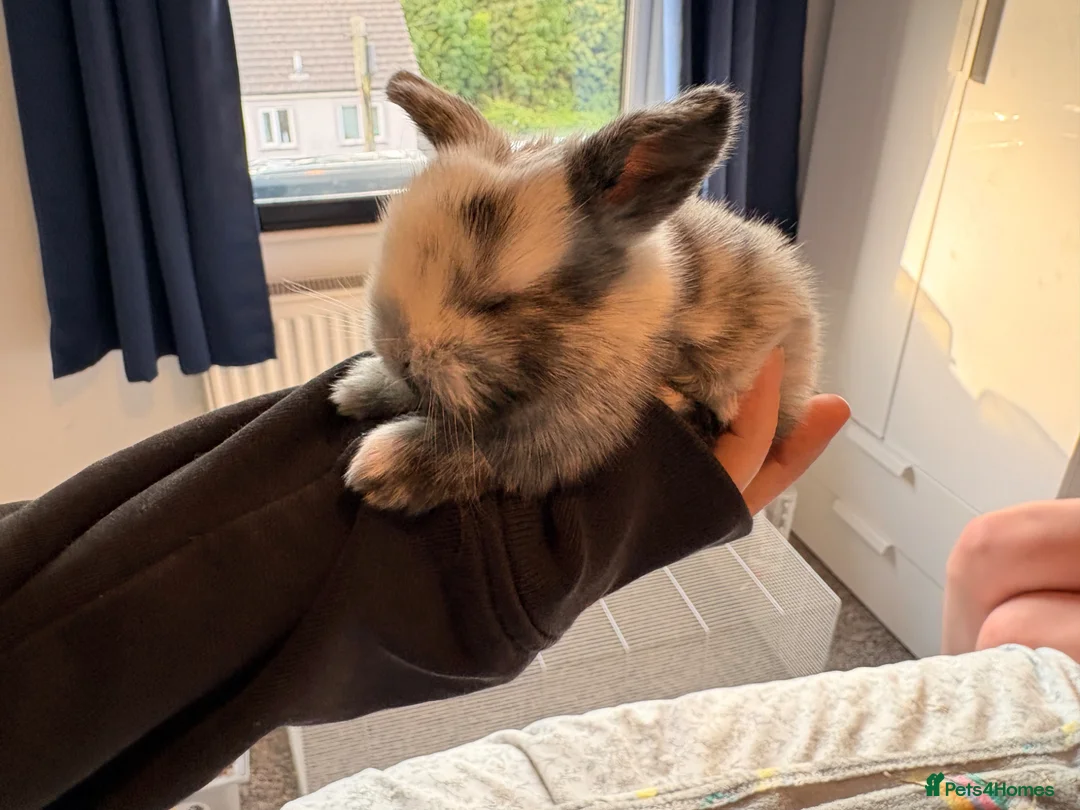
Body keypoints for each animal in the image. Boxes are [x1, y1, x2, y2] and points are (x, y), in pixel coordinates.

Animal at [330, 71, 820, 515]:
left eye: (495, 301)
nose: (399, 357)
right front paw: (357, 388)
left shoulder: (574, 424)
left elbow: (494, 448)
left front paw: (378, 468)